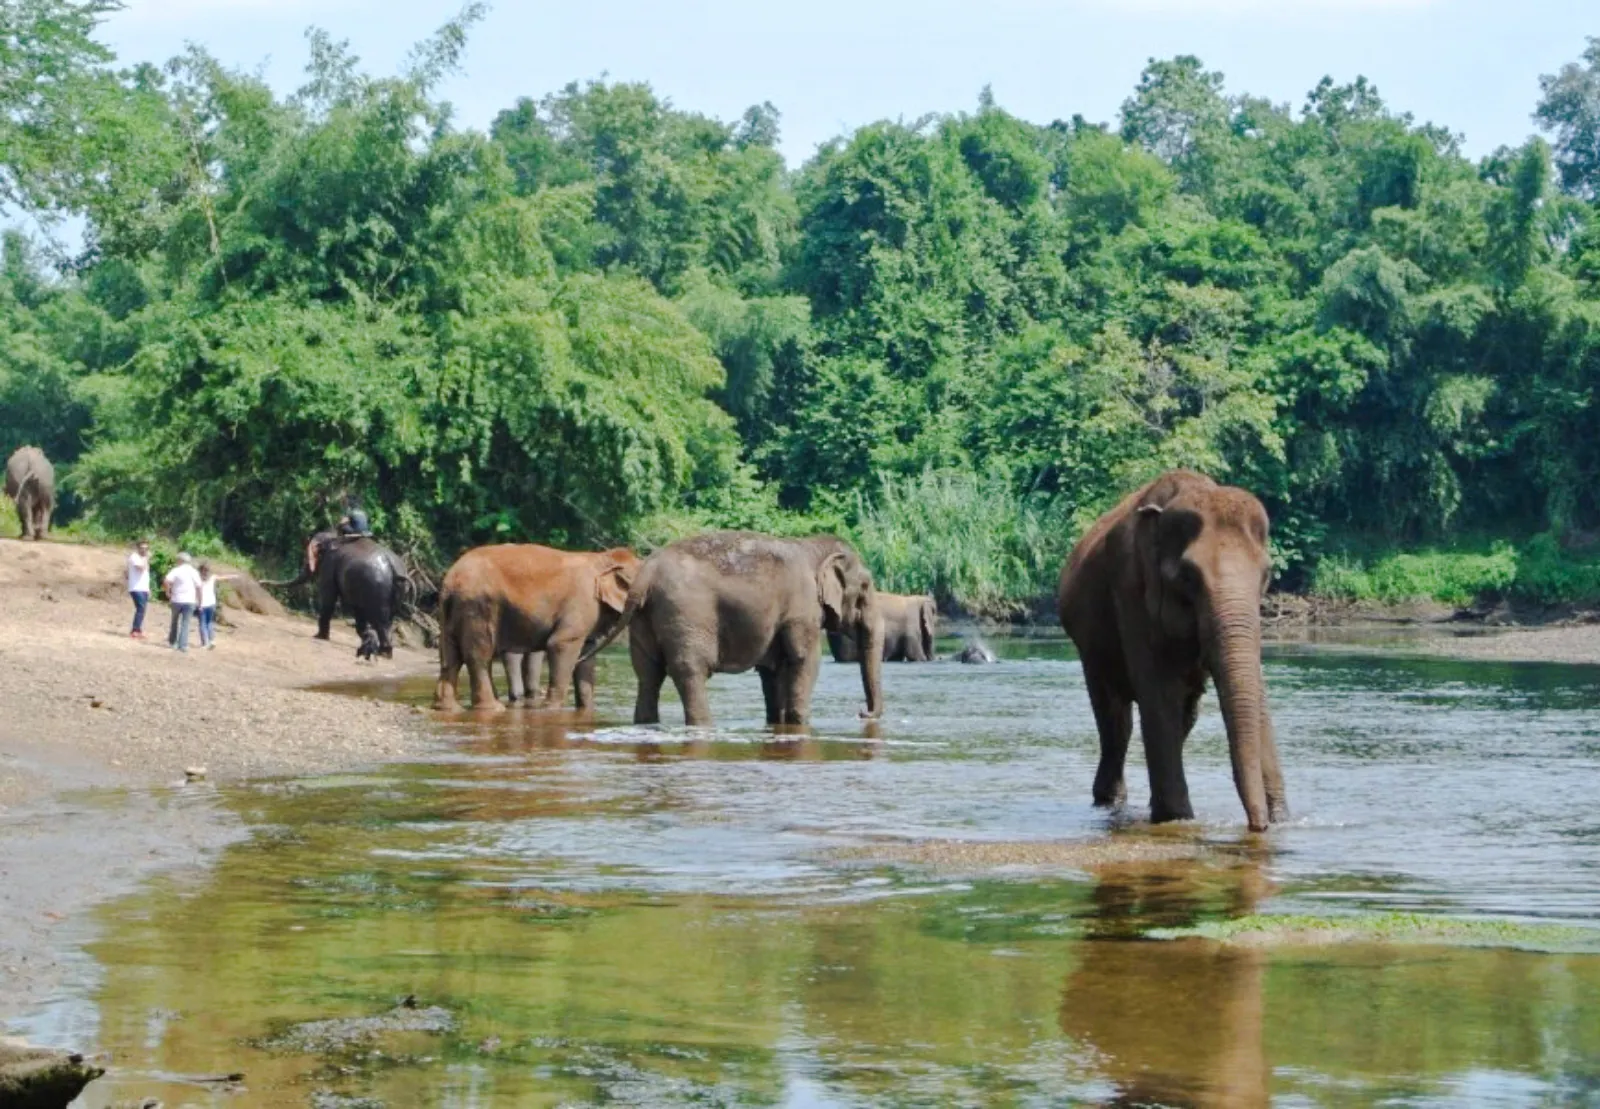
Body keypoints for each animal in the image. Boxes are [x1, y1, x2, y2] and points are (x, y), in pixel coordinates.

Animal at [263, 531, 413, 659]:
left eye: (307, 558)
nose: (261, 582)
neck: (332, 536)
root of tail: (394, 568)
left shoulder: (329, 564)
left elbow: (328, 599)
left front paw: (319, 637)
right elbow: (358, 612)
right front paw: (365, 637)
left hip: (377, 587)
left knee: (382, 620)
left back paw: (384, 653)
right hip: (397, 590)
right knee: (389, 618)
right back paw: (384, 651)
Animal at [433, 544, 640, 712]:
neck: (603, 558)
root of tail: (450, 579)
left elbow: (586, 656)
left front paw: (586, 710)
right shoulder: (582, 601)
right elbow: (560, 643)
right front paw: (550, 709)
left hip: (453, 610)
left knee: (450, 655)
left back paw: (448, 708)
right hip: (478, 606)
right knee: (479, 655)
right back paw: (493, 708)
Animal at [582, 532, 884, 727]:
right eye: (866, 587)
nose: (862, 713)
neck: (813, 547)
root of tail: (646, 574)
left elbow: (774, 670)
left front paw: (778, 722)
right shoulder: (802, 607)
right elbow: (804, 660)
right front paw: (800, 723)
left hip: (643, 619)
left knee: (648, 673)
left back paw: (646, 723)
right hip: (687, 612)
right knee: (690, 669)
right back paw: (703, 724)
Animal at [1058, 470, 1288, 832]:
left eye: (1265, 576)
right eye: (1188, 577)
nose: (1259, 826)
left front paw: (1283, 819)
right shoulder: (1130, 590)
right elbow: (1157, 691)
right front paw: (1177, 817)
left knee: (1184, 714)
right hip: (1089, 645)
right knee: (1115, 720)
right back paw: (1110, 801)